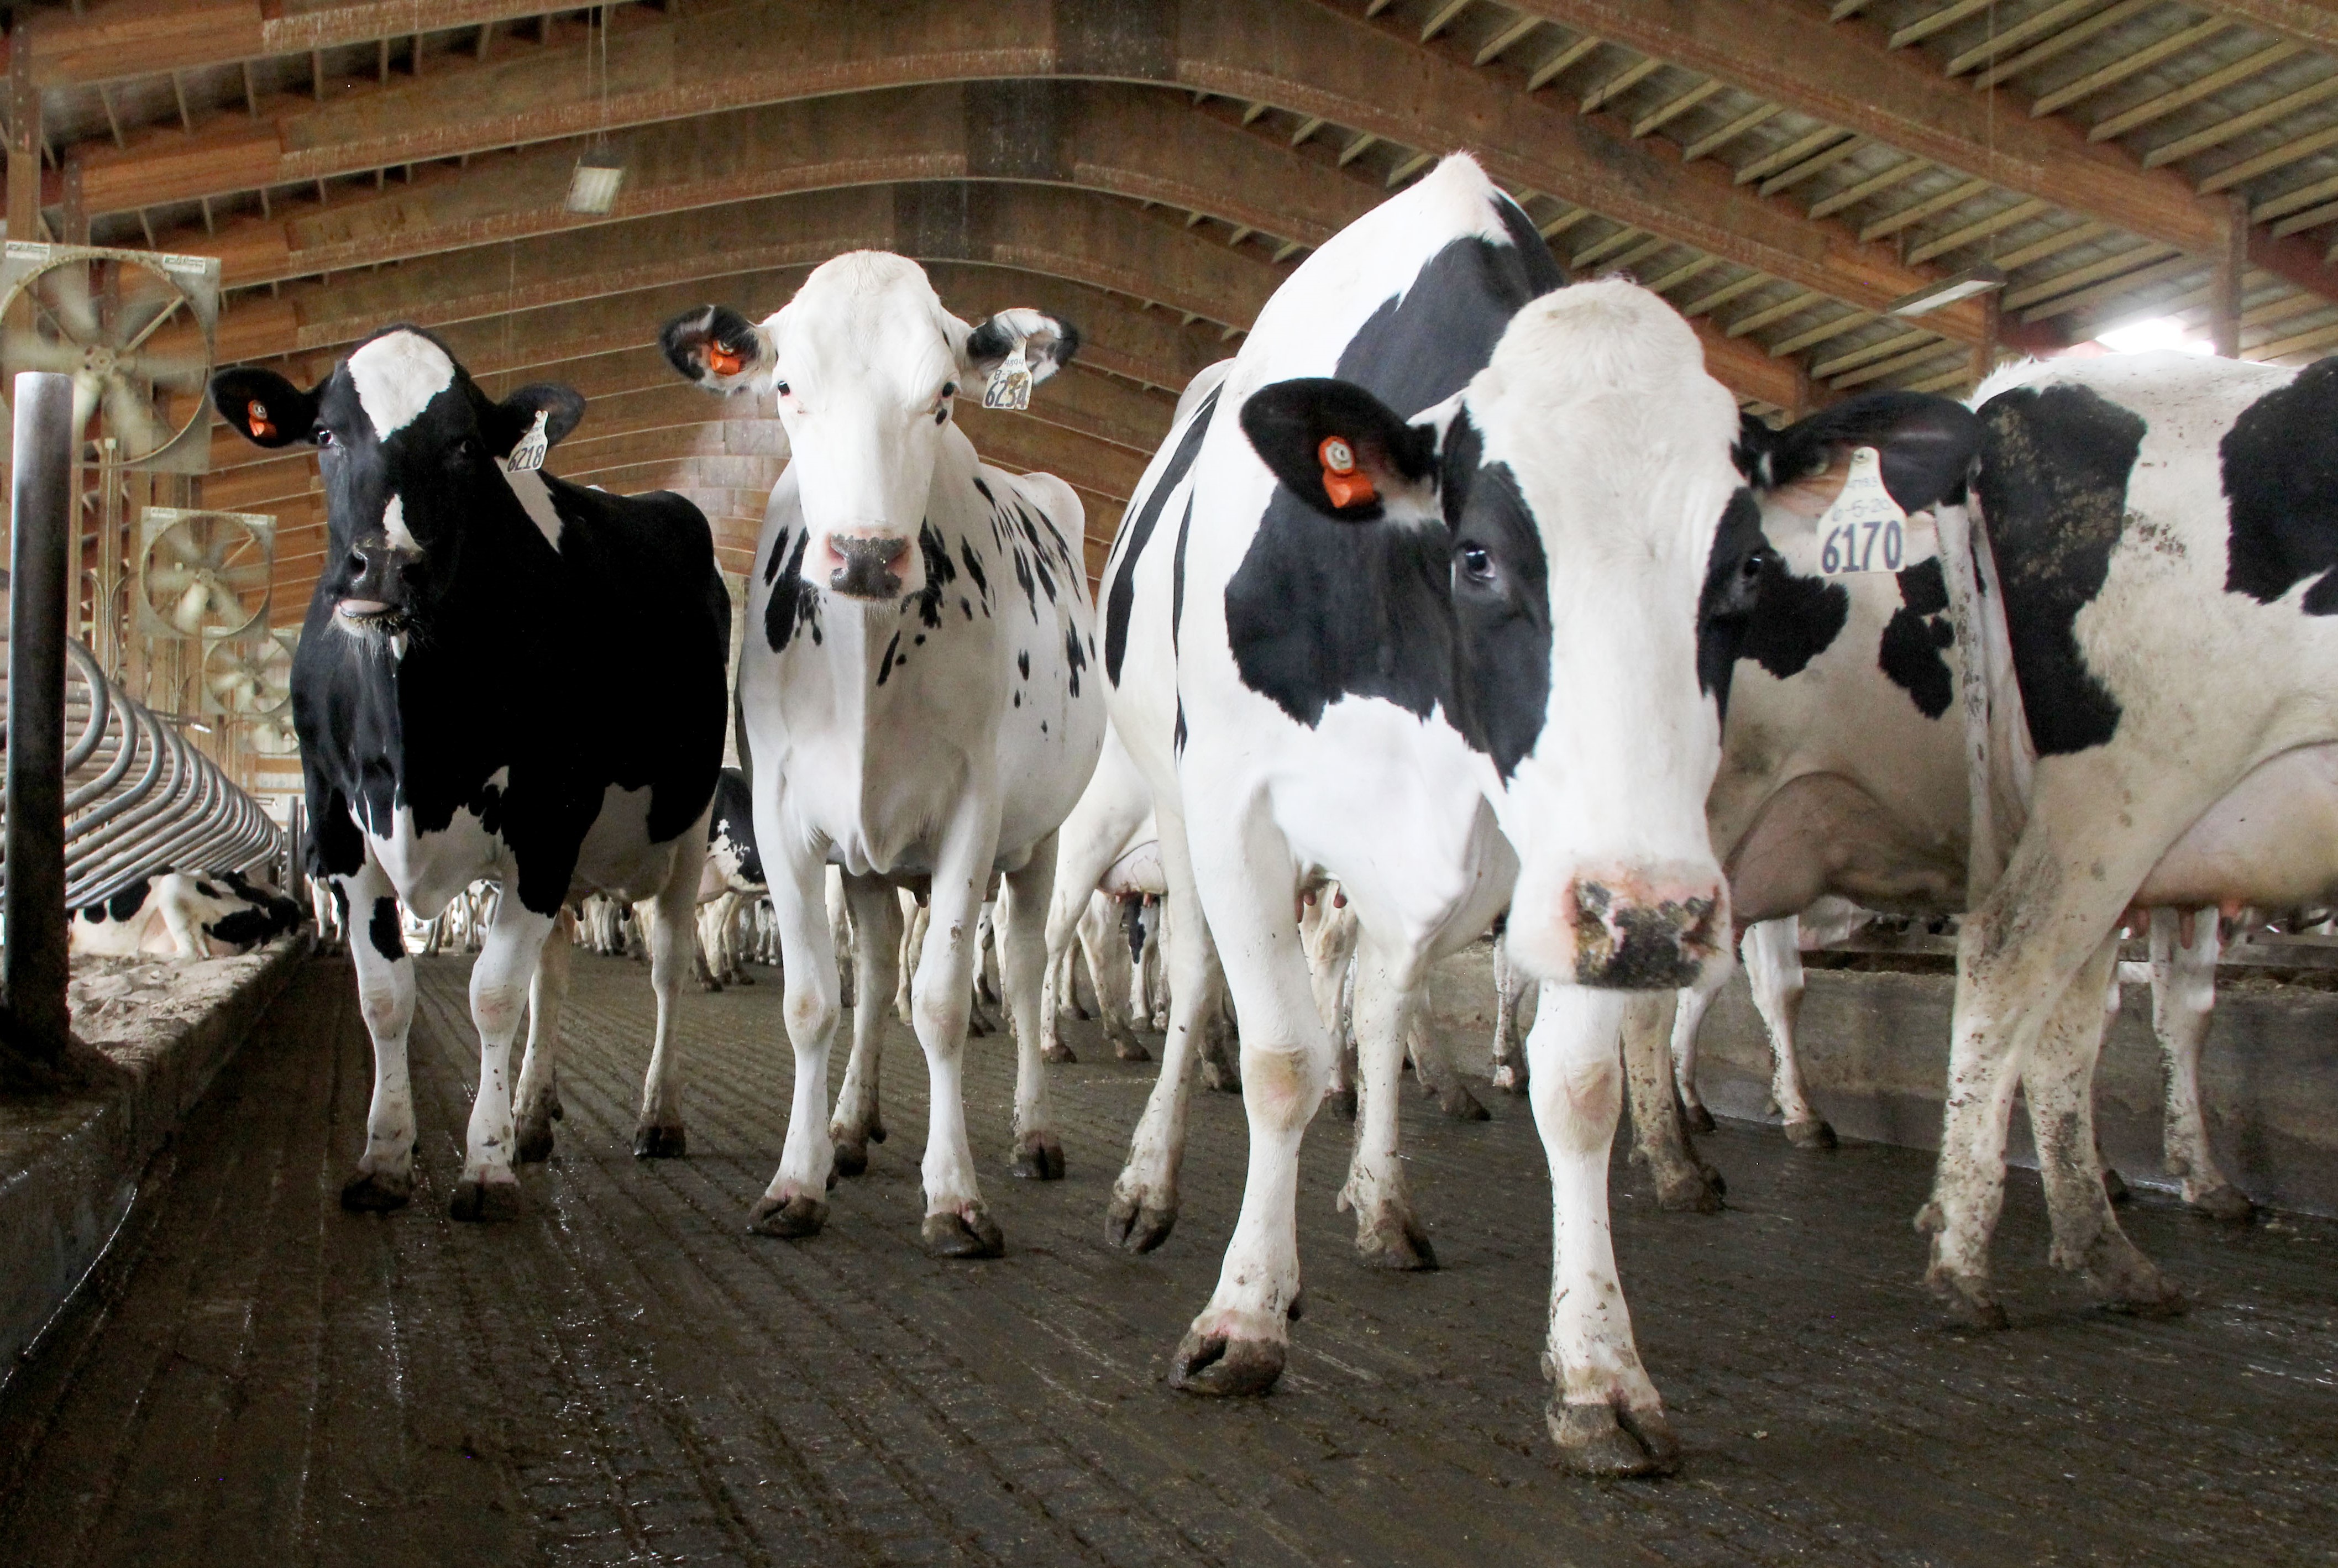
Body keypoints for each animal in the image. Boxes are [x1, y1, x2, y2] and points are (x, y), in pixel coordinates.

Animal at [219, 322, 734, 1224]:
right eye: (324, 436)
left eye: (463, 444)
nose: (388, 565)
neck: (416, 739)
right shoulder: (338, 823)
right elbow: (386, 996)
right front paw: (387, 1154)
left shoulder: (546, 816)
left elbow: (492, 993)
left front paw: (485, 1166)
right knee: (553, 972)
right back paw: (531, 1113)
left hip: (686, 821)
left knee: (670, 962)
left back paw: (657, 1116)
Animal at [654, 251, 1099, 1262]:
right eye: (785, 386)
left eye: (943, 394)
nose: (865, 553)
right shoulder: (784, 820)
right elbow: (816, 1000)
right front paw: (797, 1178)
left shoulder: (973, 811)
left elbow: (941, 1003)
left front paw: (956, 1197)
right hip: (864, 858)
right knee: (880, 959)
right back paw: (852, 1128)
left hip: (1041, 840)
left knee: (1022, 970)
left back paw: (1037, 1133)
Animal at [1094, 150, 1767, 1477]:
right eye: (1479, 555)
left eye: (1746, 574)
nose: (1664, 921)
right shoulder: (1237, 801)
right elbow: (1282, 1055)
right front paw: (1243, 1313)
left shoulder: (1575, 858)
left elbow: (1576, 1087)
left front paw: (1602, 1368)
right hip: (1169, 800)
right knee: (1198, 981)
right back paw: (1152, 1183)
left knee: (1381, 990)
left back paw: (1382, 1198)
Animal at [1907, 350, 2338, 1327]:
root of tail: (2014, 390)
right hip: (2131, 784)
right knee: (2006, 960)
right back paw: (1963, 1265)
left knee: (2068, 1012)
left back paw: (2103, 1250)